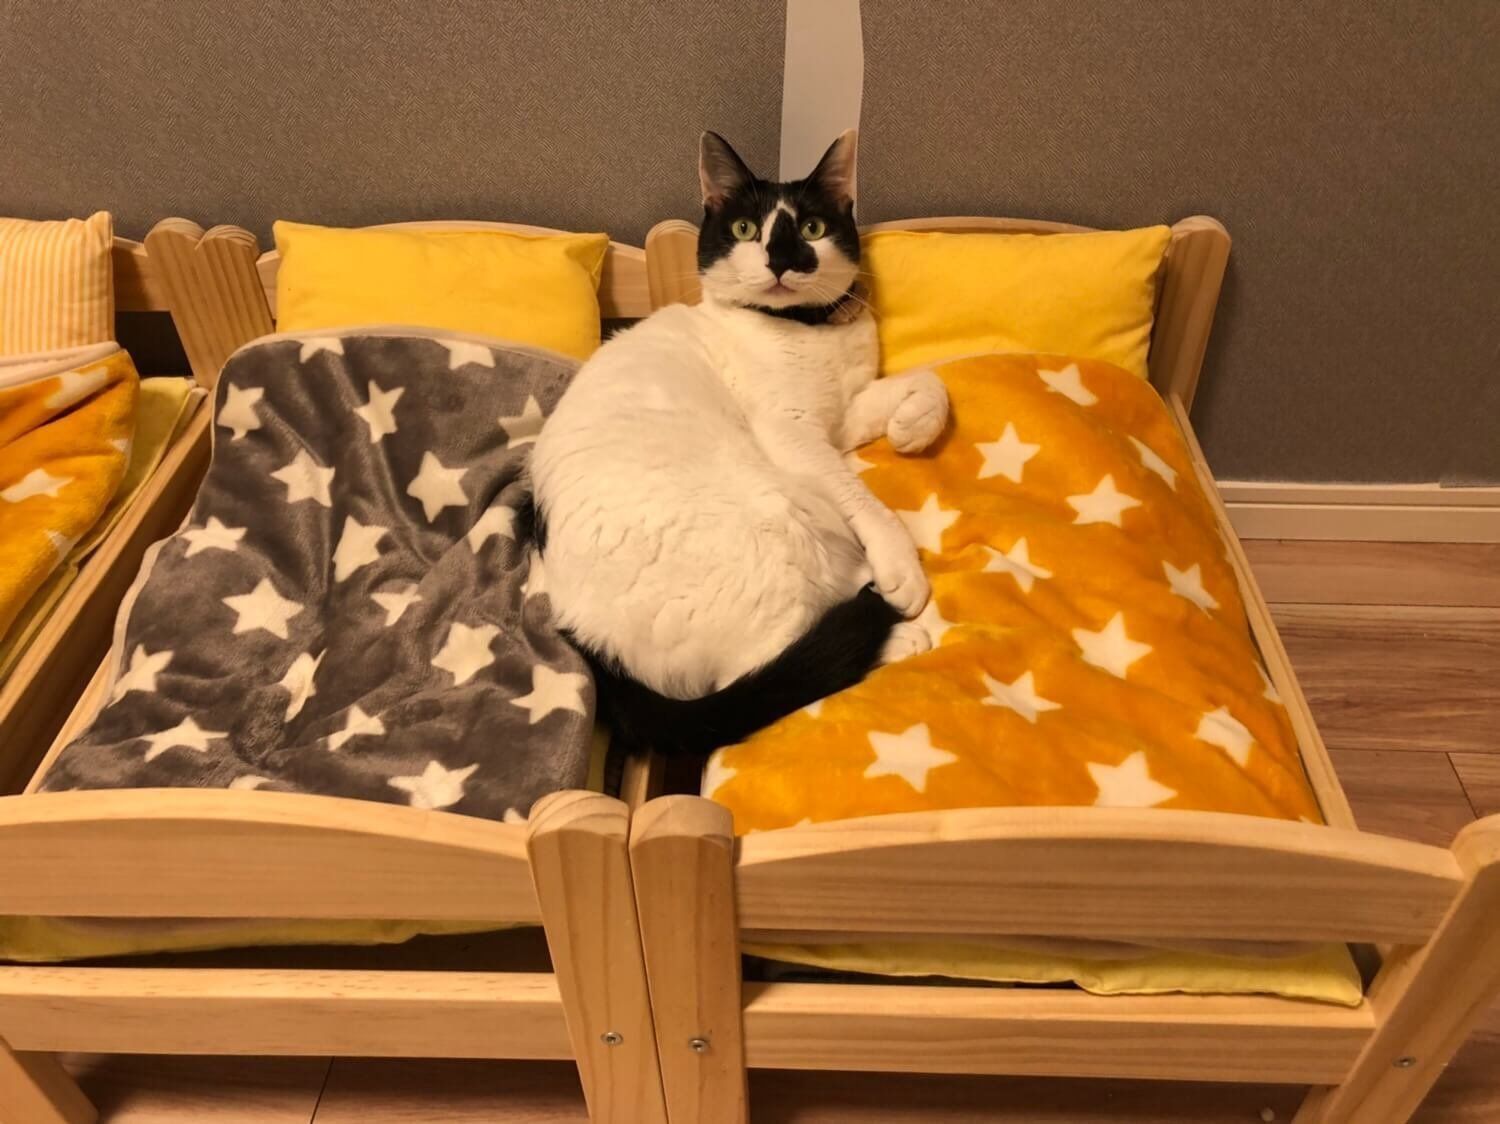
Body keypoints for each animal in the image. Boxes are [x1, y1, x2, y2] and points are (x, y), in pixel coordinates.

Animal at [529, 130, 949, 756]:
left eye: (811, 229)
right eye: (747, 230)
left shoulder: (841, 415)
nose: (781, 260)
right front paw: (901, 564)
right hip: (771, 516)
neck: (805, 328)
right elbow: (864, 501)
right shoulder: (794, 435)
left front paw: (913, 426)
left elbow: (931, 381)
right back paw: (896, 634)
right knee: (767, 666)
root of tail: (586, 638)